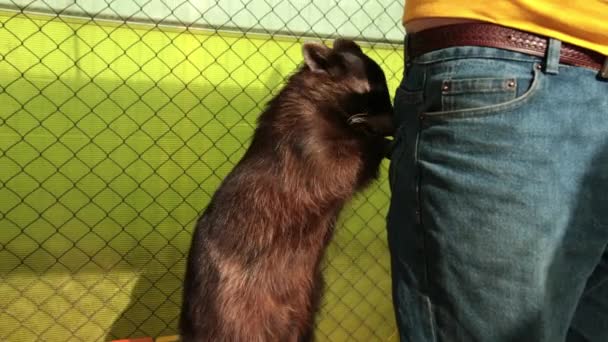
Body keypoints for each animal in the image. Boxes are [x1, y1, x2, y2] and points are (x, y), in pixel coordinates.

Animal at [178, 38, 394, 342]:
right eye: (373, 91)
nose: (395, 118)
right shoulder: (303, 147)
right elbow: (340, 168)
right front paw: (376, 142)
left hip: (304, 299)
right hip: (230, 303)